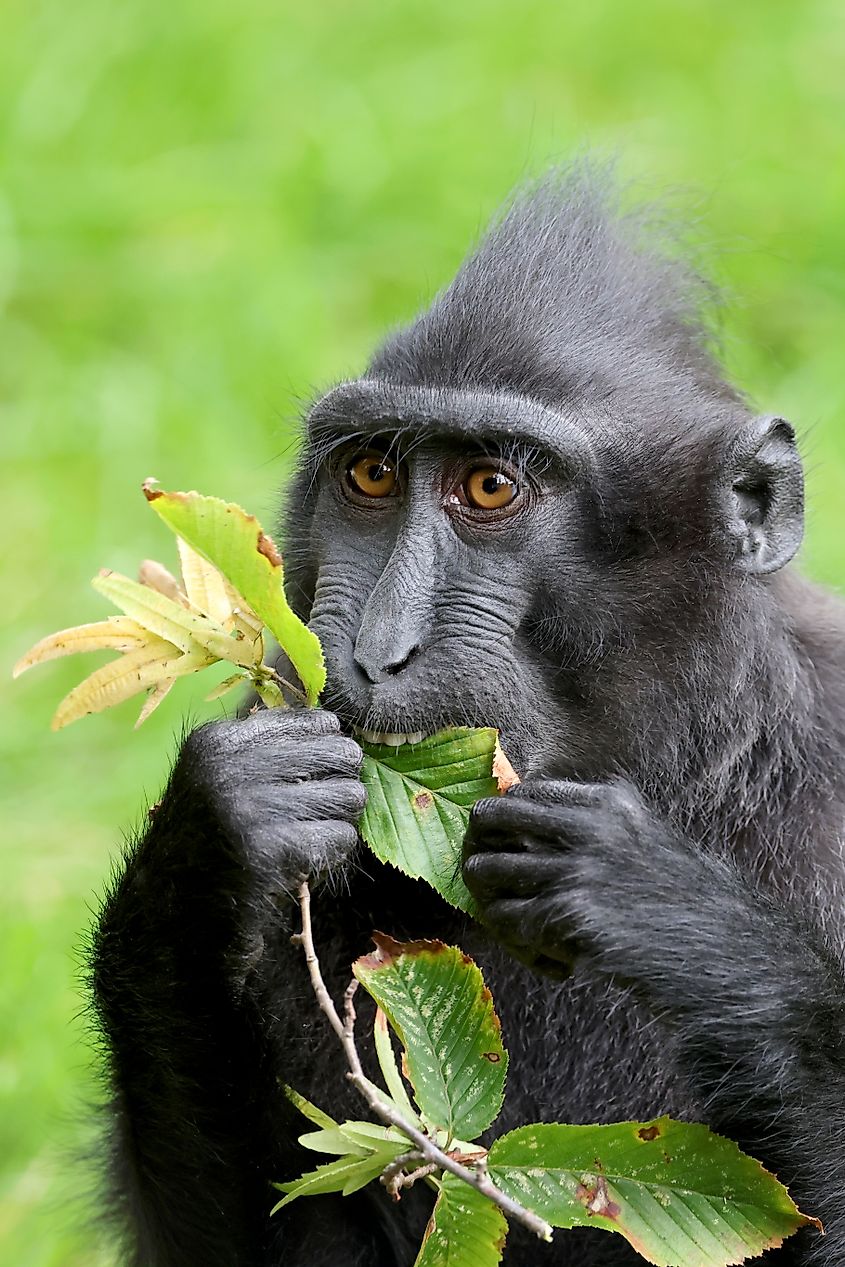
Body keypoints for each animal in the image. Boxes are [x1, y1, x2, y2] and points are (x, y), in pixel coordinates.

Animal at [91, 165, 845, 1266]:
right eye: (369, 473)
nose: (372, 647)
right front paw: (214, 839)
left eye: (489, 486)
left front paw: (667, 910)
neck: (688, 763)